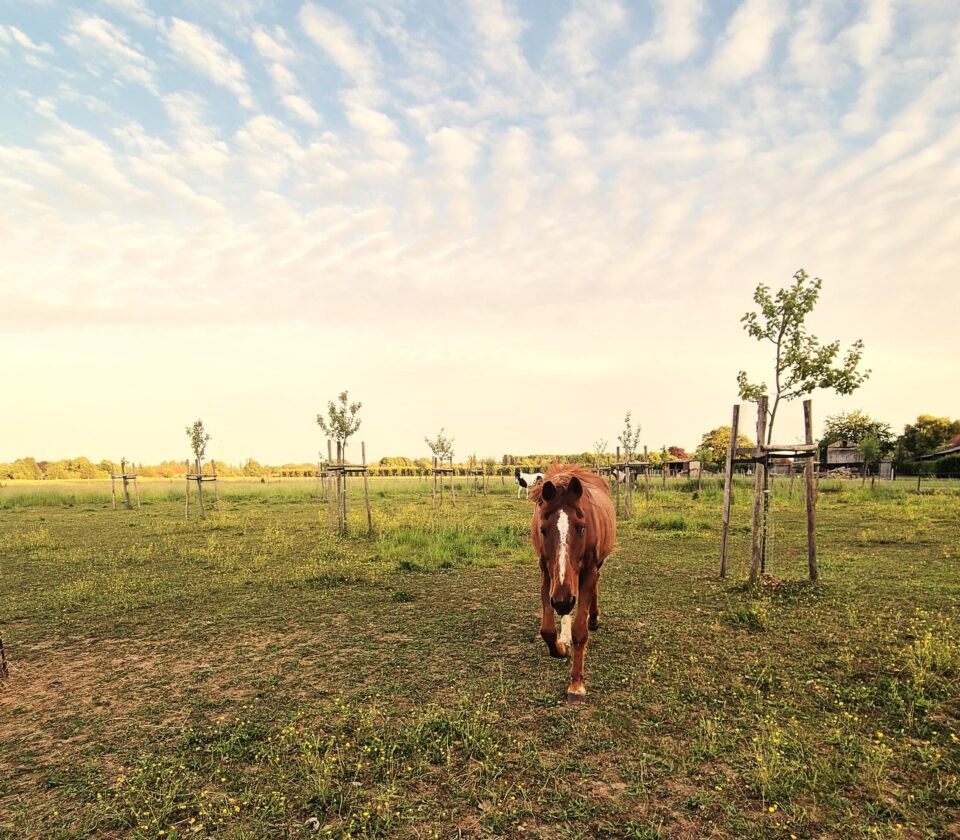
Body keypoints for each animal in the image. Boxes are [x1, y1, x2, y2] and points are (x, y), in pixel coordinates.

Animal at [530, 463, 616, 702]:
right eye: (543, 529)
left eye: (582, 527)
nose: (562, 601)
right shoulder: (546, 572)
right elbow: (547, 630)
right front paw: (561, 646)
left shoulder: (588, 572)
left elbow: (580, 631)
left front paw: (576, 685)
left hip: (594, 567)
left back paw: (593, 618)